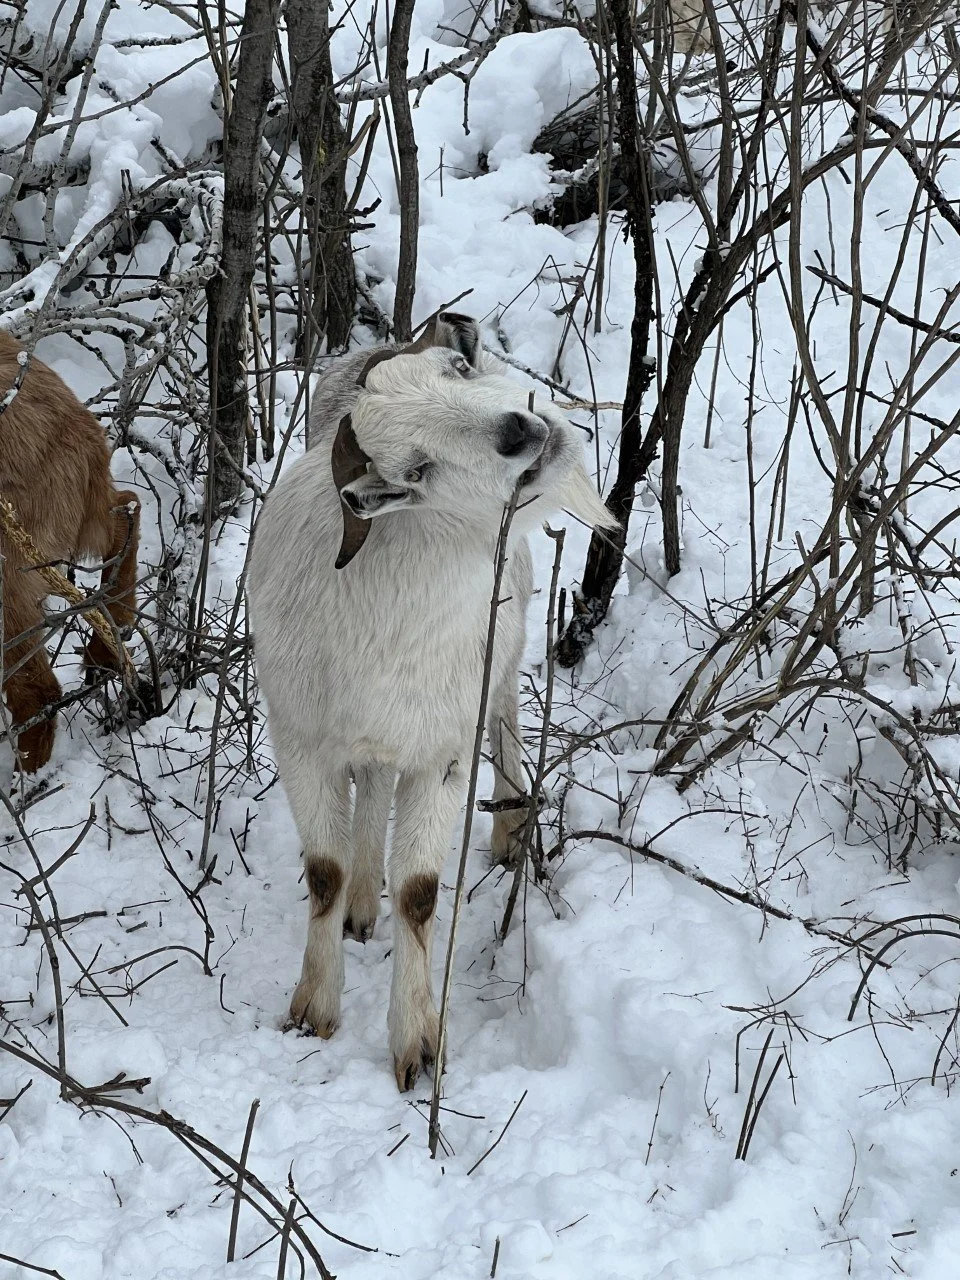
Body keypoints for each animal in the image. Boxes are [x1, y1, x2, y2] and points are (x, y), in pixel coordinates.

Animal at [247, 313, 616, 1090]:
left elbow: (418, 892)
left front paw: (417, 1048)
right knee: (370, 793)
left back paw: (508, 832)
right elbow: (323, 874)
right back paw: (362, 907)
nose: (519, 431)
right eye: (414, 472)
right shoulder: (303, 746)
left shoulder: (440, 756)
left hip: (504, 647)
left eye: (458, 369)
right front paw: (314, 1010)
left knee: (504, 719)